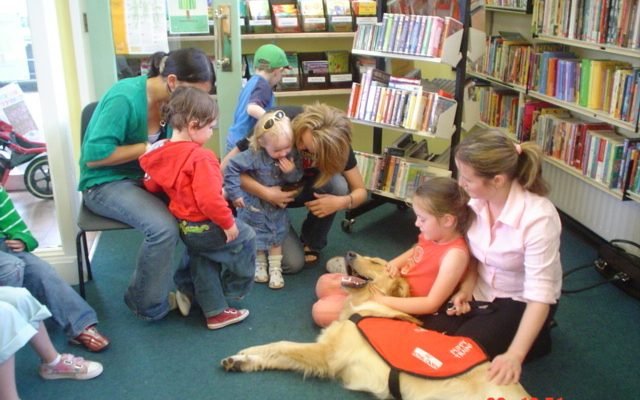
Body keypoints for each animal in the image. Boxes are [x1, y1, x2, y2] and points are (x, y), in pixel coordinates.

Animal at [220, 252, 528, 398]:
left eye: (377, 262)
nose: (349, 253)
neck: (363, 306)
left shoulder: (326, 355)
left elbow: (282, 345)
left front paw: (248, 353)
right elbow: (276, 351)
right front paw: (241, 360)